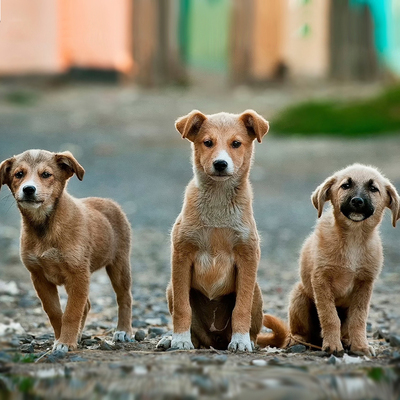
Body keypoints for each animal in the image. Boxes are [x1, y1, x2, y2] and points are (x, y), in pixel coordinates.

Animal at [0, 151, 134, 354]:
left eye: (46, 174)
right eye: (19, 174)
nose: (28, 189)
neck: (45, 227)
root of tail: (109, 202)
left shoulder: (78, 274)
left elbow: (71, 312)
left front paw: (66, 342)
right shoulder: (39, 277)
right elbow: (55, 312)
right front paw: (61, 338)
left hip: (119, 265)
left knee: (124, 297)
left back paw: (123, 331)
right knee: (86, 305)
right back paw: (79, 335)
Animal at [158, 109, 270, 354]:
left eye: (236, 143)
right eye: (207, 142)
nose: (220, 164)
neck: (218, 202)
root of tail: (214, 340)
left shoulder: (248, 256)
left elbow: (241, 308)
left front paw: (240, 340)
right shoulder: (181, 255)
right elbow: (182, 307)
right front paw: (180, 340)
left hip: (257, 292)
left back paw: (247, 340)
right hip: (170, 288)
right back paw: (171, 339)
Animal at [260, 163, 400, 356]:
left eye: (373, 189)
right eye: (345, 185)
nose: (357, 201)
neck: (353, 239)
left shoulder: (365, 284)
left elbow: (359, 319)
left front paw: (360, 346)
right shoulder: (321, 279)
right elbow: (330, 316)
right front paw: (333, 346)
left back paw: (346, 341)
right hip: (299, 296)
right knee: (299, 332)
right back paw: (298, 341)